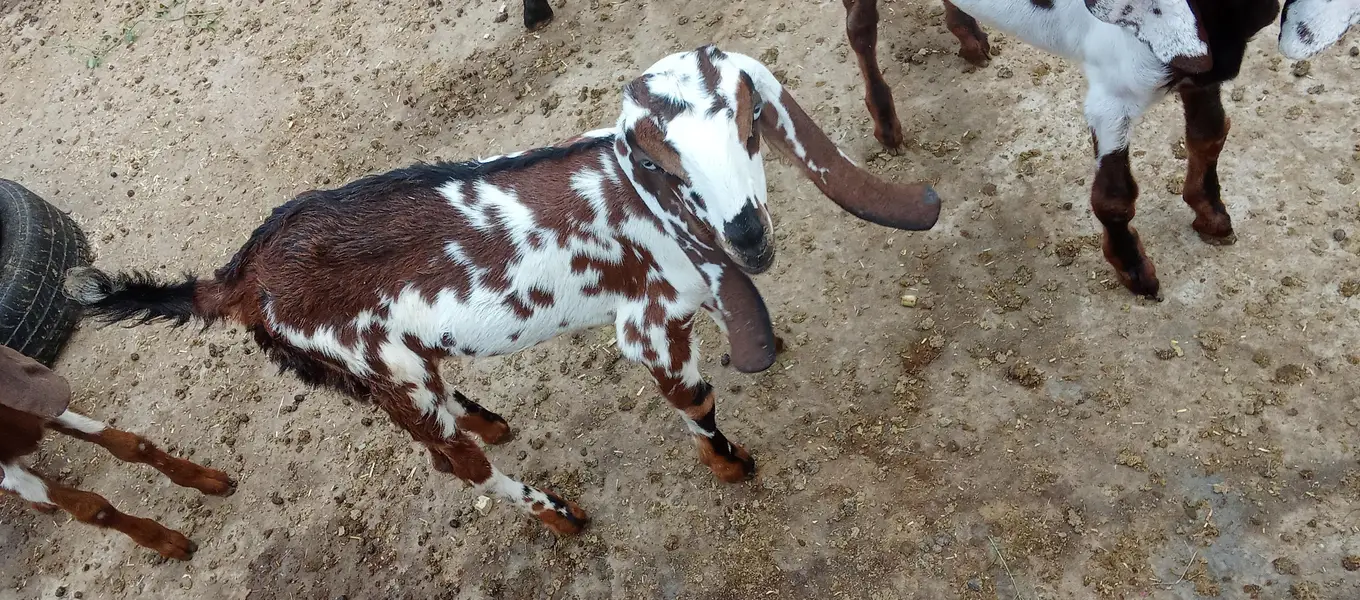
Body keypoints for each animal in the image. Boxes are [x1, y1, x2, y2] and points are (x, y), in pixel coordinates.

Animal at [0, 343, 235, 560]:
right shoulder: (9, 475)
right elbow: (95, 509)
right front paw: (168, 543)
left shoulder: (44, 407)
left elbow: (130, 446)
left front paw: (208, 480)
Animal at [63, 45, 942, 535]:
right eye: (659, 159)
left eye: (751, 123)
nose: (748, 236)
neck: (636, 205)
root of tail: (240, 275)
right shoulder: (651, 325)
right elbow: (695, 402)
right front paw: (734, 469)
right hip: (387, 372)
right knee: (455, 464)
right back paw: (558, 515)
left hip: (381, 367)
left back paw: (490, 420)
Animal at [843, 0, 1281, 299]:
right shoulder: (1112, 89)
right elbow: (1113, 196)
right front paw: (1134, 270)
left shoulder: (1204, 70)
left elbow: (1209, 136)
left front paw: (1212, 217)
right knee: (859, 27)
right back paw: (886, 123)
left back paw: (968, 35)